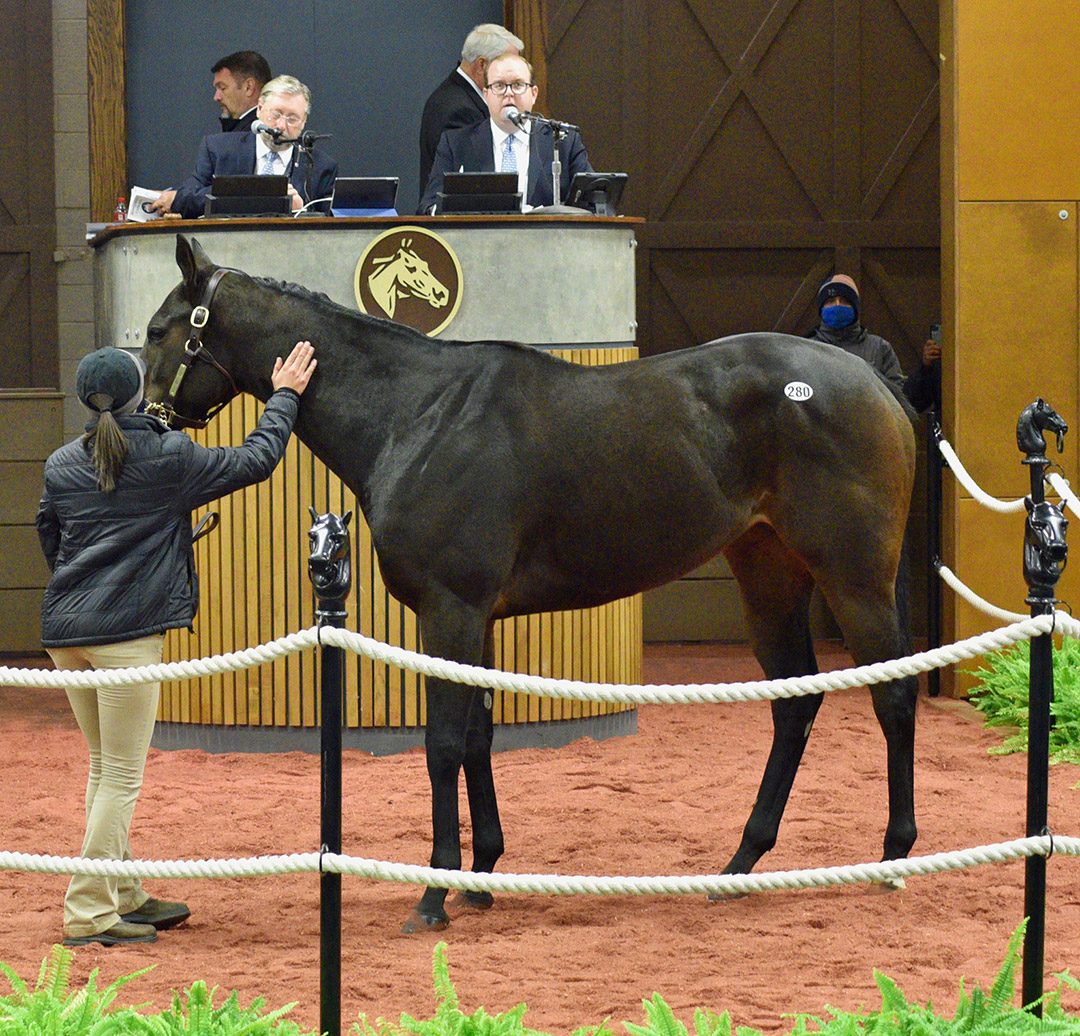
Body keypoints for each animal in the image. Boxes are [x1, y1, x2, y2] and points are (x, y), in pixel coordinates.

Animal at [143, 234, 919, 933]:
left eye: (156, 331)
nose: (146, 418)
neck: (417, 413)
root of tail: (873, 384)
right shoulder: (478, 616)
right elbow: (478, 735)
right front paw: (481, 877)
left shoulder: (450, 610)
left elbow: (443, 743)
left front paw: (434, 893)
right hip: (768, 574)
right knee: (796, 702)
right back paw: (739, 865)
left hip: (855, 579)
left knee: (894, 694)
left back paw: (893, 856)